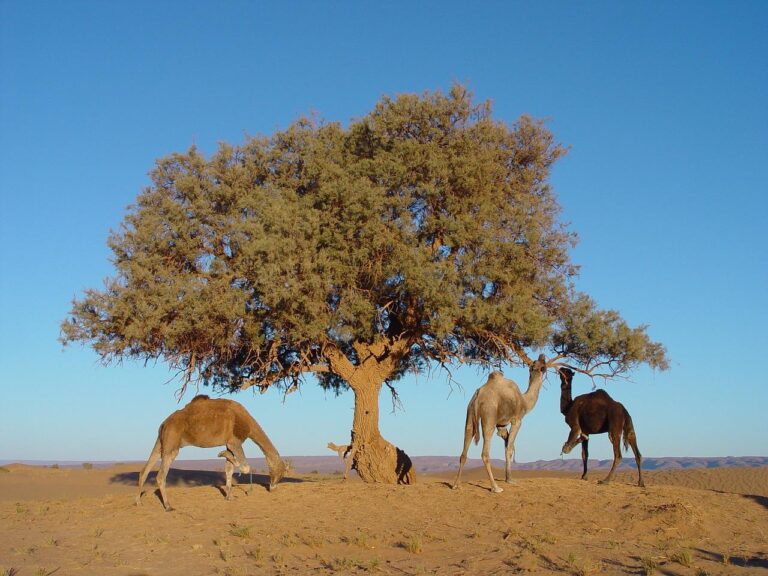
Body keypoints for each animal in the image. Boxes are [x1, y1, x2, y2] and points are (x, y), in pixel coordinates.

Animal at [136, 394, 288, 510]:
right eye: (280, 473)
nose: (273, 488)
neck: (248, 423)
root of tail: (164, 423)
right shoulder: (234, 441)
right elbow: (245, 467)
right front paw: (221, 454)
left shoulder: (229, 443)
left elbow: (229, 469)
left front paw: (229, 496)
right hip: (172, 443)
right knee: (160, 475)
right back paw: (168, 506)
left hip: (161, 442)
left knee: (145, 470)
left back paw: (138, 501)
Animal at [452, 354, 548, 492]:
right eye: (544, 367)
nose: (542, 356)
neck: (524, 401)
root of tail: (478, 395)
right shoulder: (517, 420)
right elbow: (509, 449)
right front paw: (510, 480)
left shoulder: (501, 425)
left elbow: (506, 445)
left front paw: (508, 478)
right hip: (489, 415)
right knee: (485, 452)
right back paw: (495, 487)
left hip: (469, 414)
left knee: (465, 447)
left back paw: (456, 485)